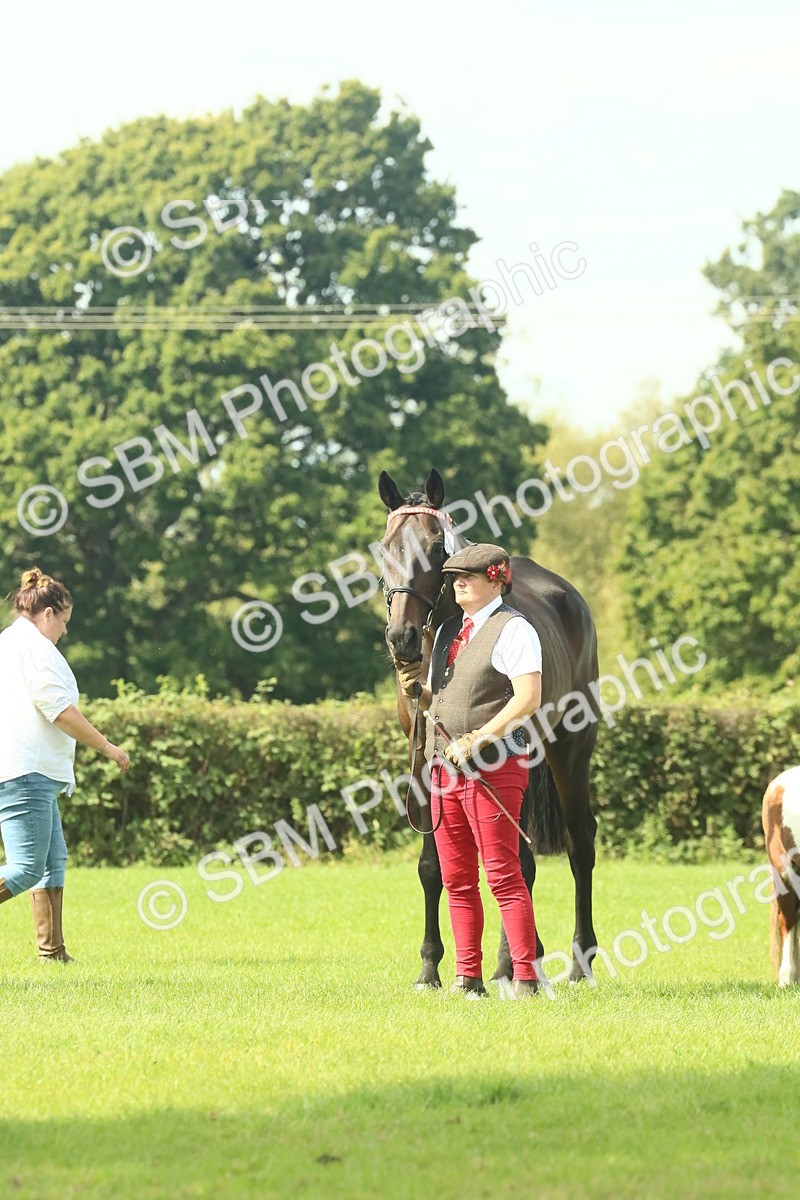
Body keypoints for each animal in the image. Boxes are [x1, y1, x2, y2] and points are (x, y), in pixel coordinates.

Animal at [378, 467, 600, 987]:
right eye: (385, 547)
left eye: (436, 548)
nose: (402, 638)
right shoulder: (425, 761)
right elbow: (433, 866)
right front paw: (430, 967)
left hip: (570, 748)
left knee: (578, 842)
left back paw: (574, 961)